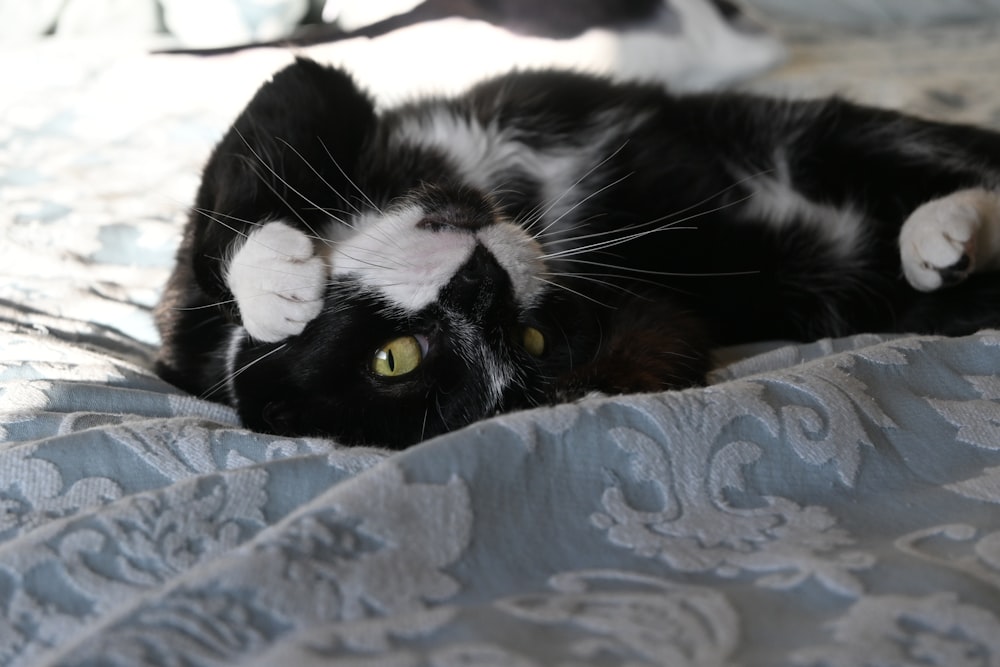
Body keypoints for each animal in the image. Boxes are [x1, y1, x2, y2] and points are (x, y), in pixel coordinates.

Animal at [154, 57, 1000, 448]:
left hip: (823, 130)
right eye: (395, 357)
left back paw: (938, 227)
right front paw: (275, 282)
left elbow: (278, 122)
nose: (480, 281)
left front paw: (273, 284)